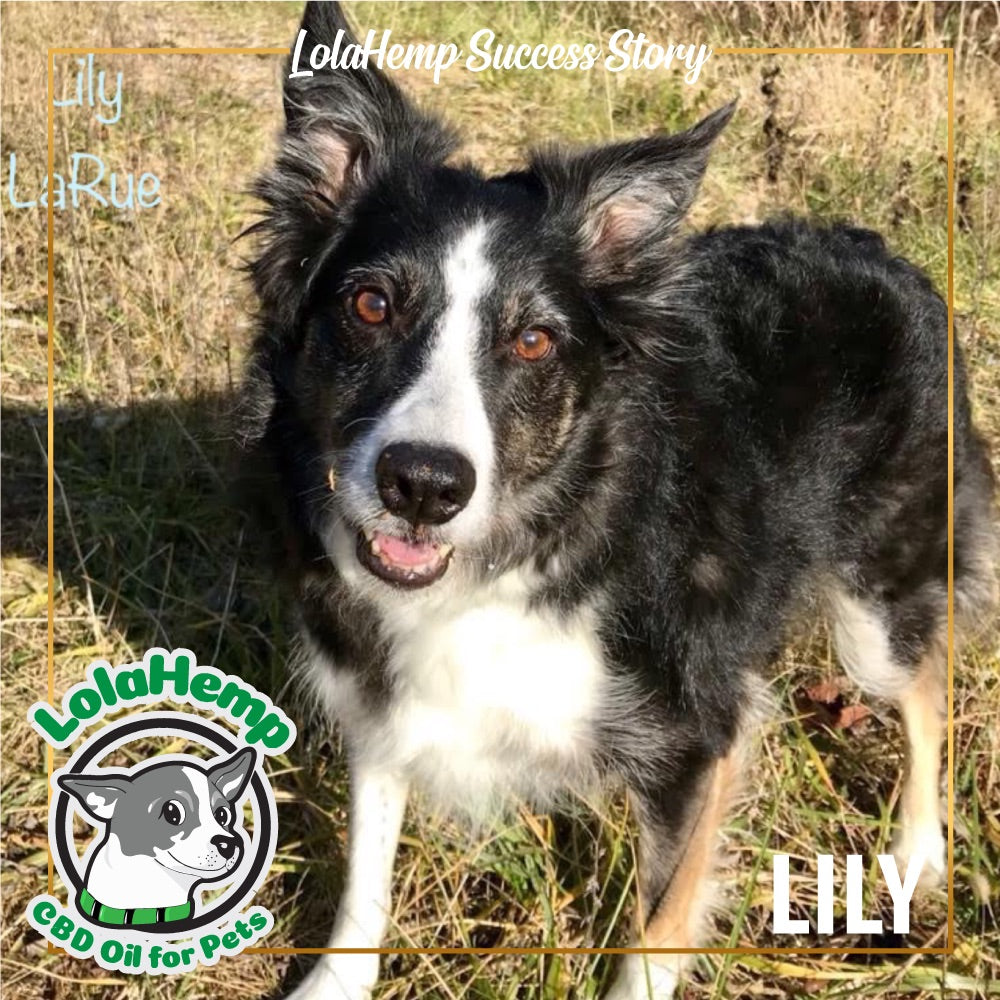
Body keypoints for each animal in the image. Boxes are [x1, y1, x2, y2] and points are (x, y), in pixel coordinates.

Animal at [240, 3, 992, 996]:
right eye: (370, 306)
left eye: (533, 341)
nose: (423, 486)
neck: (533, 543)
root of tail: (875, 246)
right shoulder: (381, 701)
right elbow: (366, 874)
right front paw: (333, 983)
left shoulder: (695, 740)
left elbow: (656, 929)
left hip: (879, 599)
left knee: (925, 682)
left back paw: (917, 855)